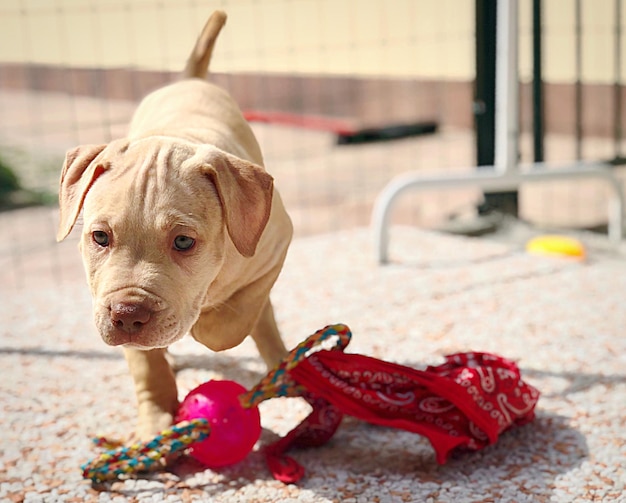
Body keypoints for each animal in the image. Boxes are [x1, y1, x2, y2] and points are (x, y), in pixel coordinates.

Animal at [57, 9, 292, 440]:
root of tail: (189, 79)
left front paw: (208, 327)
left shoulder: (275, 247)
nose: (127, 316)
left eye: (183, 242)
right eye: (99, 237)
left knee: (263, 320)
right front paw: (155, 421)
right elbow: (146, 365)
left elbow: (237, 314)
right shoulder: (109, 290)